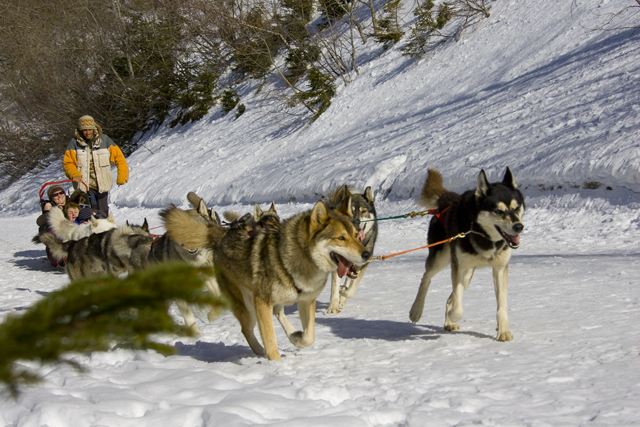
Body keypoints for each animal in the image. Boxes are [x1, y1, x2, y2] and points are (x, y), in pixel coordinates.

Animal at [410, 166, 524, 342]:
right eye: (498, 211)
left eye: (517, 207)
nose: (519, 226)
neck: (480, 232)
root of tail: (448, 200)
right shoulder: (459, 267)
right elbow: (458, 308)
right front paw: (453, 315)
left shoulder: (500, 269)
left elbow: (502, 306)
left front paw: (503, 331)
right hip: (441, 260)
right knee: (426, 279)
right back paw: (416, 310)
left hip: (468, 274)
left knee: (450, 298)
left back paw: (448, 322)